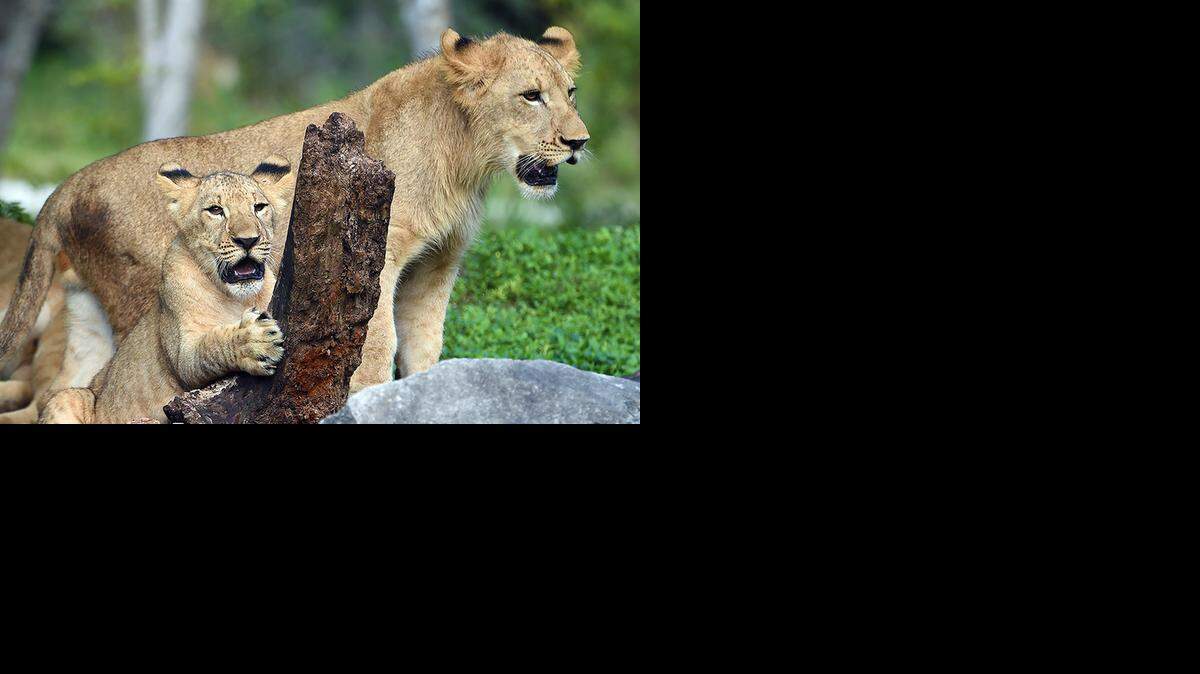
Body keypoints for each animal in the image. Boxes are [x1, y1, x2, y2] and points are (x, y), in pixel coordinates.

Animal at [0, 26, 590, 395]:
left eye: (571, 92)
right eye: (531, 96)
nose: (579, 141)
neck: (465, 157)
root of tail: (67, 184)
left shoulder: (436, 264)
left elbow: (425, 344)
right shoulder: (378, 254)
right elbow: (378, 341)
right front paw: (364, 398)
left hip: (86, 310)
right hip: (152, 294)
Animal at [39, 159, 293, 424]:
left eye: (259, 207)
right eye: (215, 210)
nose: (248, 240)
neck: (238, 298)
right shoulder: (184, 355)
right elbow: (212, 347)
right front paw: (256, 341)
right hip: (72, 397)